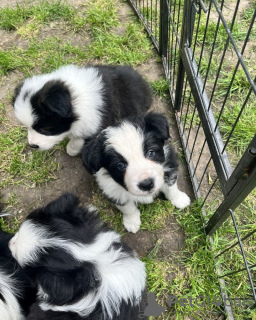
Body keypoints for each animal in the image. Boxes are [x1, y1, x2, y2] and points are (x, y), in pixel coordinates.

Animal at [12, 64, 152, 156]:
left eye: (45, 129)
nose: (32, 145)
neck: (74, 98)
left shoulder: (96, 121)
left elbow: (80, 138)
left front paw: (72, 149)